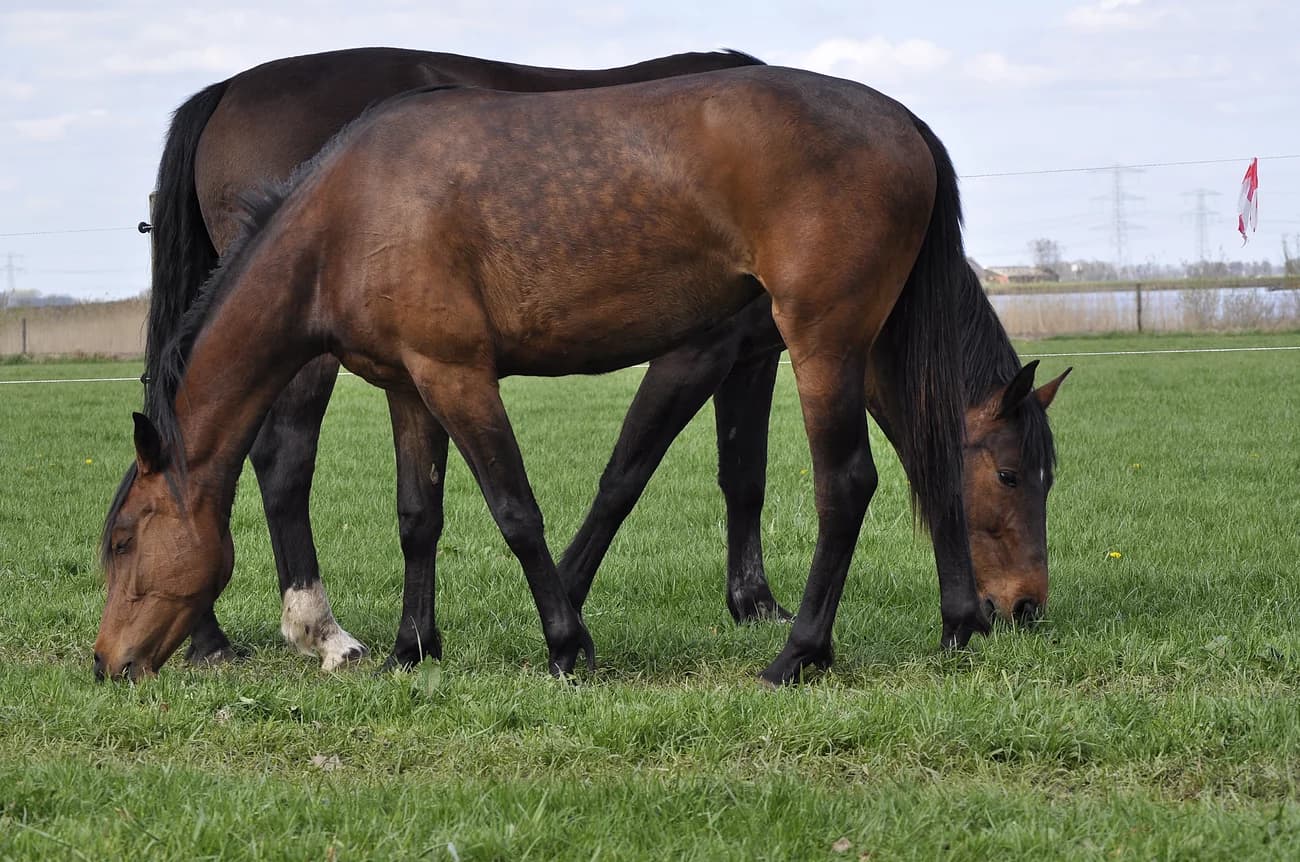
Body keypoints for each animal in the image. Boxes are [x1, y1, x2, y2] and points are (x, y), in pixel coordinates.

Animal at [144, 48, 1066, 674]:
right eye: (1013, 475)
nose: (1025, 606)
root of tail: (228, 89)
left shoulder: (766, 355)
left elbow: (752, 475)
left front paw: (756, 602)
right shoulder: (705, 351)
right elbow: (630, 474)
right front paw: (579, 599)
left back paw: (212, 633)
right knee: (276, 458)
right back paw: (311, 631)